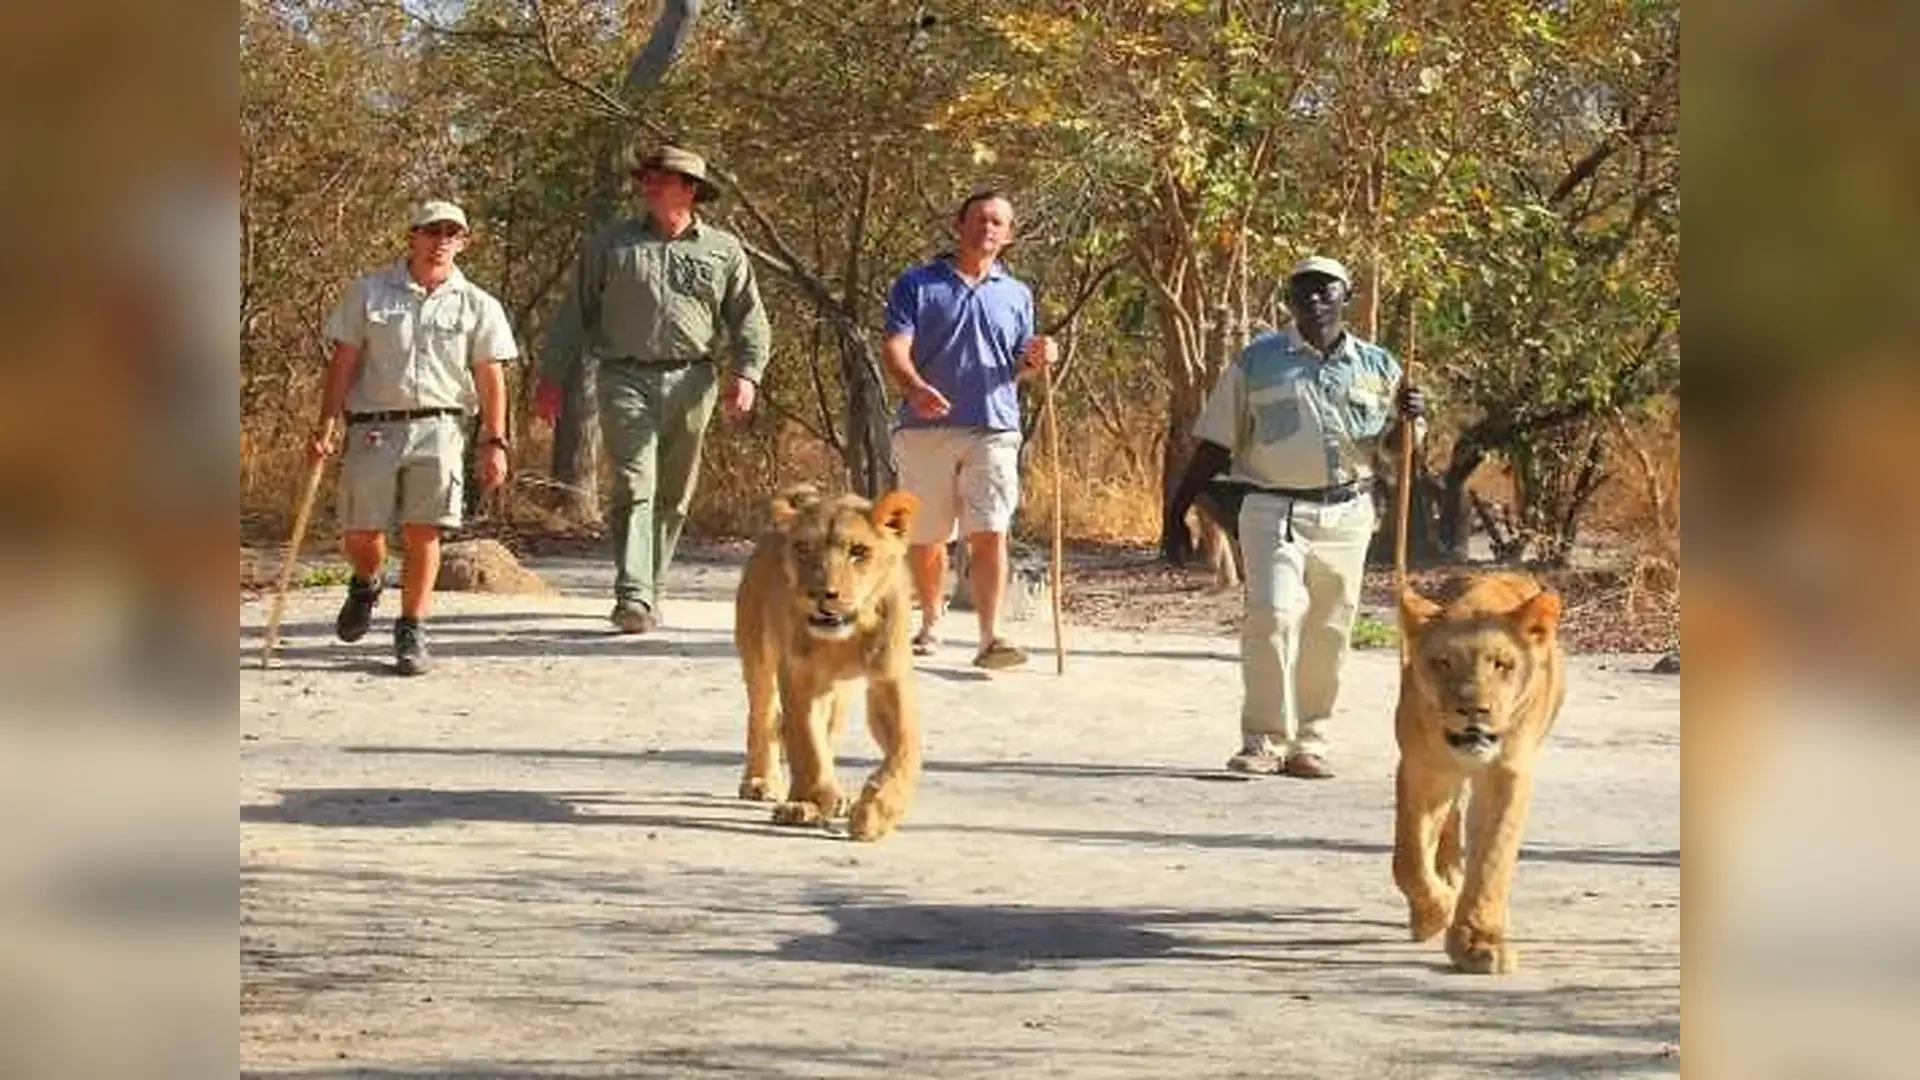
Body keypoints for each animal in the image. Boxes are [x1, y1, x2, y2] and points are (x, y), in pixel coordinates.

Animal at [733, 484, 923, 842]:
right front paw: (807, 803)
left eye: (859, 551)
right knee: (763, 717)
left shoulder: (889, 677)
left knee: (826, 730)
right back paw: (763, 782)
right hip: (757, 656)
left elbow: (905, 746)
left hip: (840, 690)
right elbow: (807, 741)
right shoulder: (799, 676)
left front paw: (877, 812)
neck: (849, 635)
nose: (821, 594)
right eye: (803, 548)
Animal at [1392, 571, 1567, 974]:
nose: (1474, 710)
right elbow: (1409, 860)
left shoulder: (1506, 773)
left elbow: (1492, 857)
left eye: (1502, 664)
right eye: (1442, 662)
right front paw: (1433, 913)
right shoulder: (1424, 769)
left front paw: (1478, 942)